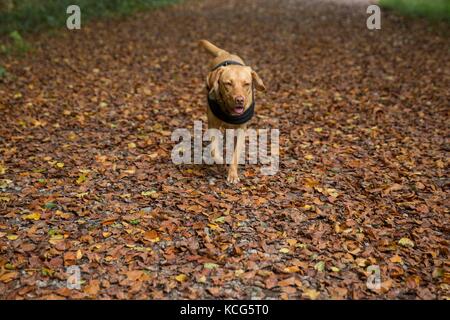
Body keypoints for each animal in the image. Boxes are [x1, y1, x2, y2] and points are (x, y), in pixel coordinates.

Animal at [199, 40, 266, 182]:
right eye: (228, 84)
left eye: (246, 84)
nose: (240, 100)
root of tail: (225, 53)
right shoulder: (213, 124)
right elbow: (214, 149)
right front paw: (219, 159)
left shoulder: (241, 129)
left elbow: (236, 153)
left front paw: (233, 174)